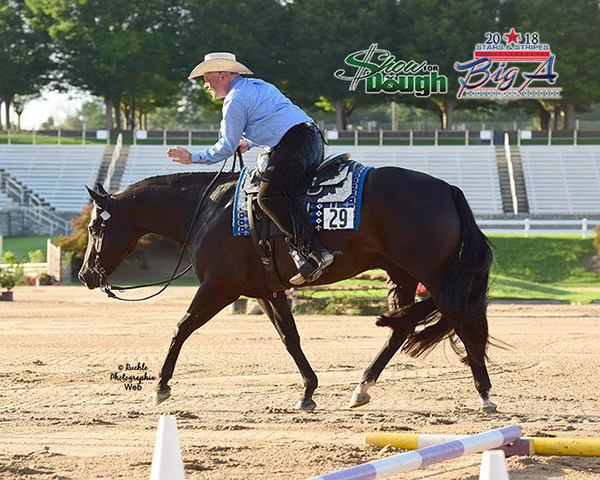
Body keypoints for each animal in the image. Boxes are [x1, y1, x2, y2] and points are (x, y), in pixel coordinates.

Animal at [77, 166, 494, 412]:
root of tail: (447, 188)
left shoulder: (220, 287)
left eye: (96, 227)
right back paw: (362, 388)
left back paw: (485, 393)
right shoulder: (267, 292)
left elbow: (182, 327)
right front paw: (308, 391)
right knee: (401, 329)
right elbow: (289, 338)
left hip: (435, 277)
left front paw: (161, 386)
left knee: (462, 323)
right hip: (403, 275)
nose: (85, 275)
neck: (209, 209)